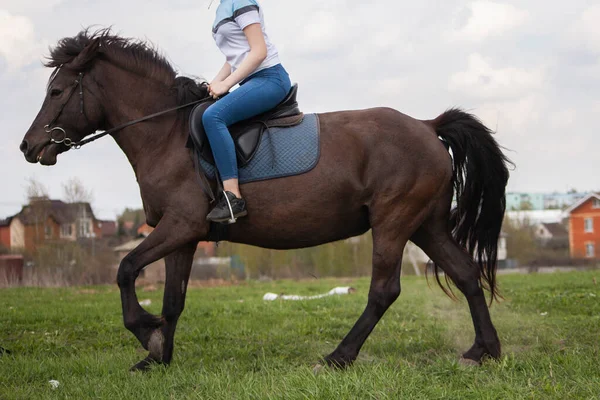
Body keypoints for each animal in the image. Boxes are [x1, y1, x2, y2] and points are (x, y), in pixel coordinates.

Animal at [19, 30, 510, 372]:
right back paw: (483, 350)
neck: (167, 136)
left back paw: (338, 356)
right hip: (426, 224)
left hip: (393, 222)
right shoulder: (185, 237)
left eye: (57, 92)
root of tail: (428, 126)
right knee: (466, 274)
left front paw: (145, 333)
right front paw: (157, 356)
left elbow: (124, 270)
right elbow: (173, 300)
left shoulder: (180, 226)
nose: (28, 146)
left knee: (384, 290)